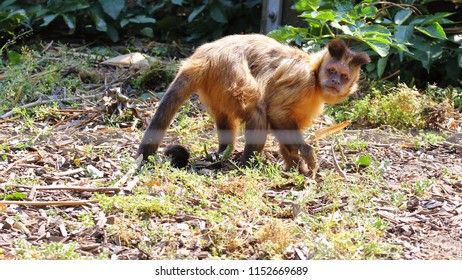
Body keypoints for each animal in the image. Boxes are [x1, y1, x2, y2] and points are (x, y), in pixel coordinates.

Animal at [135, 34, 370, 174]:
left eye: (343, 76)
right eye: (331, 71)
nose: (335, 81)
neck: (314, 74)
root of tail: (204, 56)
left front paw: (295, 167)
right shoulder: (302, 80)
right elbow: (275, 110)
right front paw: (304, 152)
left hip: (216, 85)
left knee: (226, 118)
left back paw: (223, 153)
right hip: (228, 70)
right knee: (258, 110)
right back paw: (248, 164)